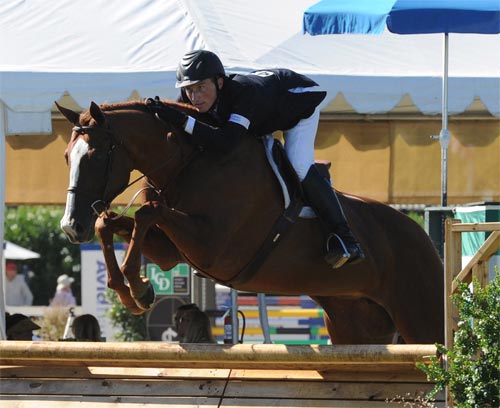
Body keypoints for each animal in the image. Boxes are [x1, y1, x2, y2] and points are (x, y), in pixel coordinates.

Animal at [56, 99, 444, 344]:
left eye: (95, 156)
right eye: (66, 156)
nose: (71, 227)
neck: (191, 162)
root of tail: (422, 235)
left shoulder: (215, 249)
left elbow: (146, 213)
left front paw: (138, 288)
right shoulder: (172, 251)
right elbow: (114, 223)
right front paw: (127, 288)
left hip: (422, 317)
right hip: (356, 324)